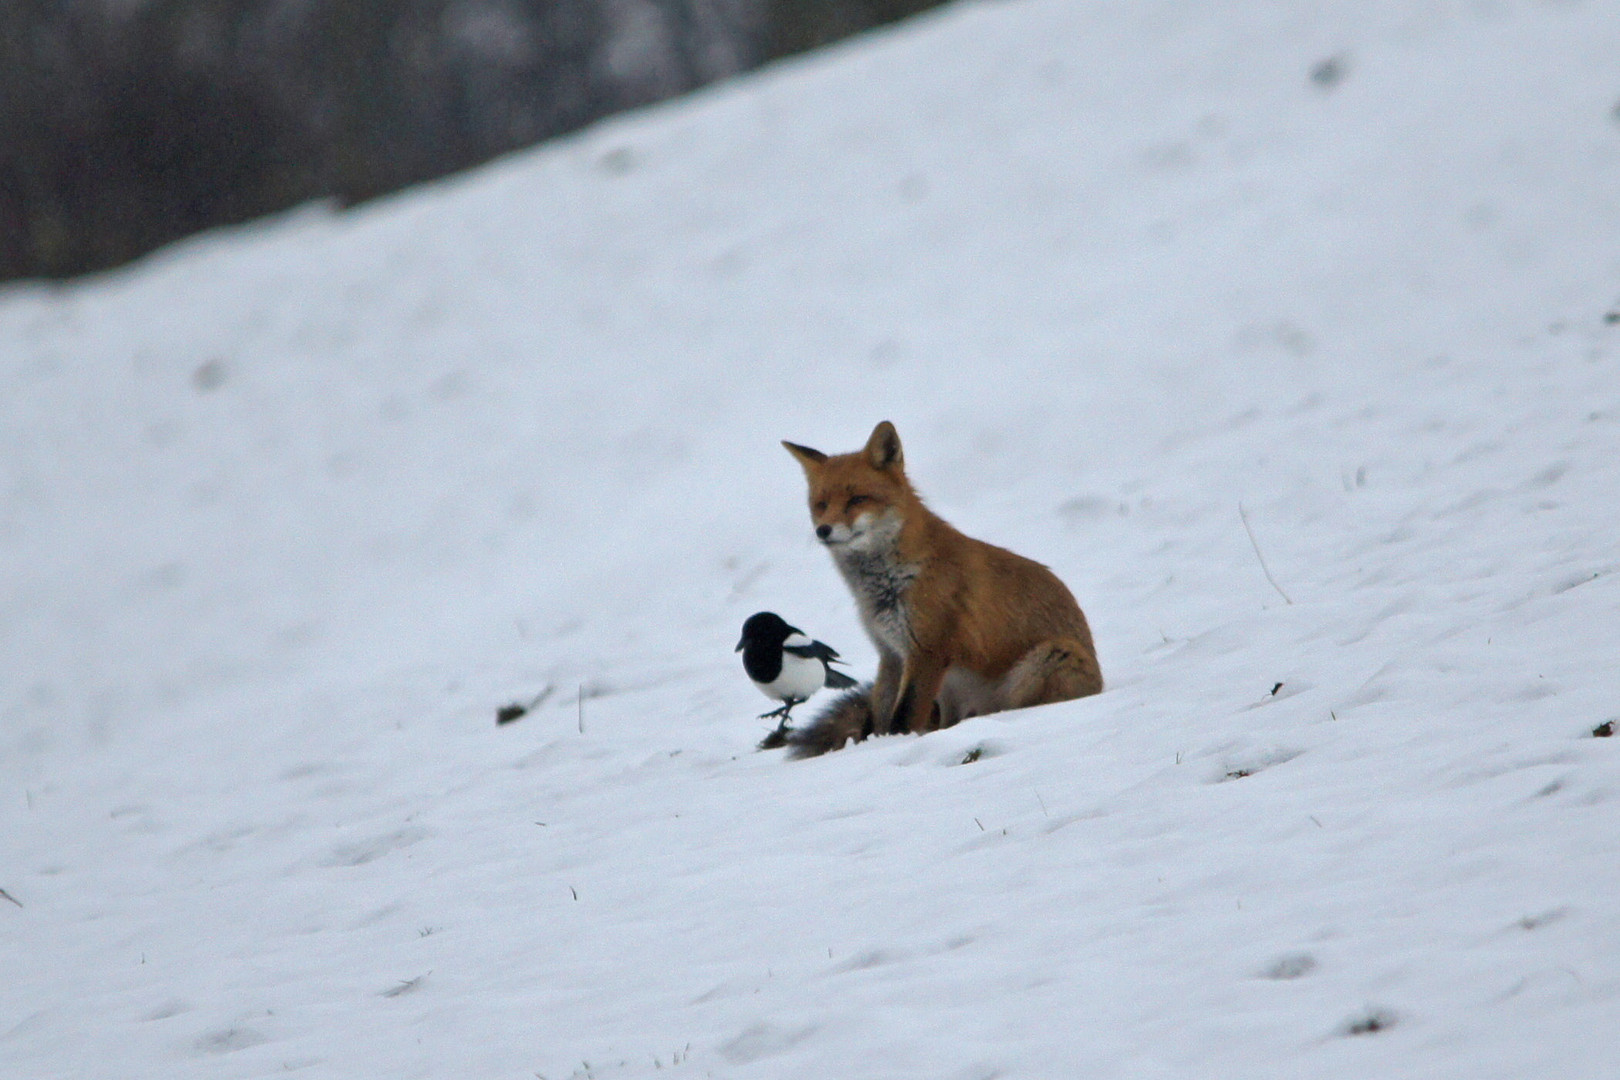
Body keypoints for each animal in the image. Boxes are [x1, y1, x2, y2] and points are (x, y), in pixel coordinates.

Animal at [780, 417, 1101, 757]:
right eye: (821, 505)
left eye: (857, 500)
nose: (823, 530)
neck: (889, 582)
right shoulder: (891, 653)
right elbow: (880, 716)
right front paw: (873, 746)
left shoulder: (928, 650)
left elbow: (903, 718)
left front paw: (893, 745)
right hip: (953, 689)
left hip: (1050, 657)